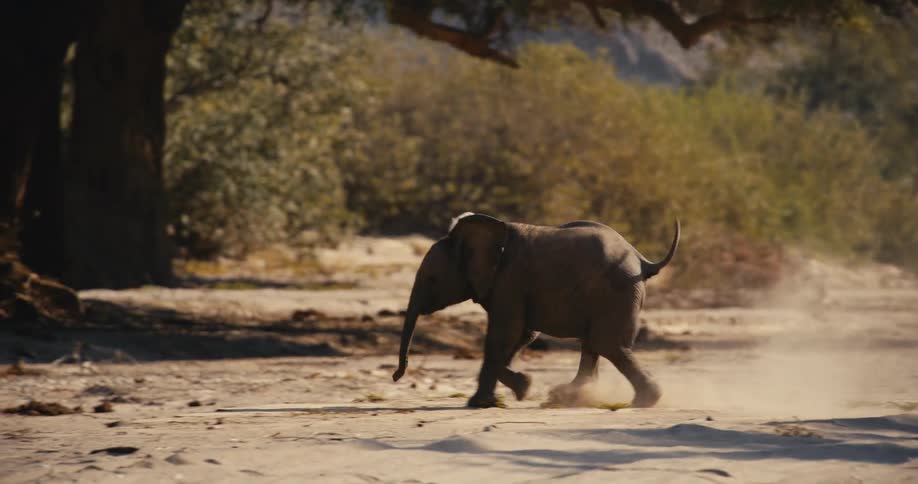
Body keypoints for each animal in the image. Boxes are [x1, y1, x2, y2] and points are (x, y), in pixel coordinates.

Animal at [392, 212, 680, 409]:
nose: (396, 376)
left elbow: (503, 335)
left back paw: (643, 401)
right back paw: (566, 397)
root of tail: (642, 260)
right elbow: (522, 335)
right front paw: (517, 389)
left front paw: (489, 400)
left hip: (616, 292)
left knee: (607, 344)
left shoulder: (510, 280)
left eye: (432, 279)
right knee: (594, 344)